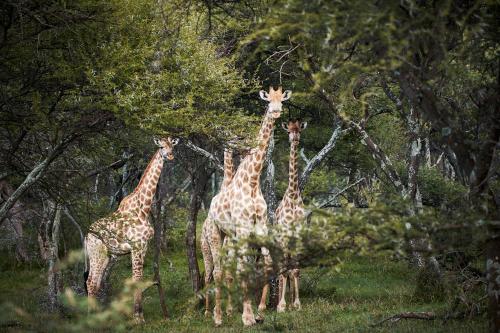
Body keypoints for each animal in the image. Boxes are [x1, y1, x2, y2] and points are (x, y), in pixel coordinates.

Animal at [85, 136, 179, 322]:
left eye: (172, 145)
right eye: (161, 146)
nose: (170, 156)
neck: (144, 208)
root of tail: (86, 236)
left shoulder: (144, 246)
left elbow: (139, 280)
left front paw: (139, 315)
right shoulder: (136, 246)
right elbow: (136, 279)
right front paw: (138, 318)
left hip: (106, 256)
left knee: (95, 282)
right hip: (97, 254)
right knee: (91, 282)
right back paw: (89, 319)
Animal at [202, 86, 292, 326]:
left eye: (282, 100)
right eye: (268, 100)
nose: (276, 111)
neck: (252, 181)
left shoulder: (259, 227)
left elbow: (264, 263)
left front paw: (259, 311)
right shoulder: (242, 228)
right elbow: (243, 269)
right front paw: (247, 316)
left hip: (231, 235)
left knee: (227, 269)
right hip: (216, 233)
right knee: (217, 271)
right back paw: (217, 317)